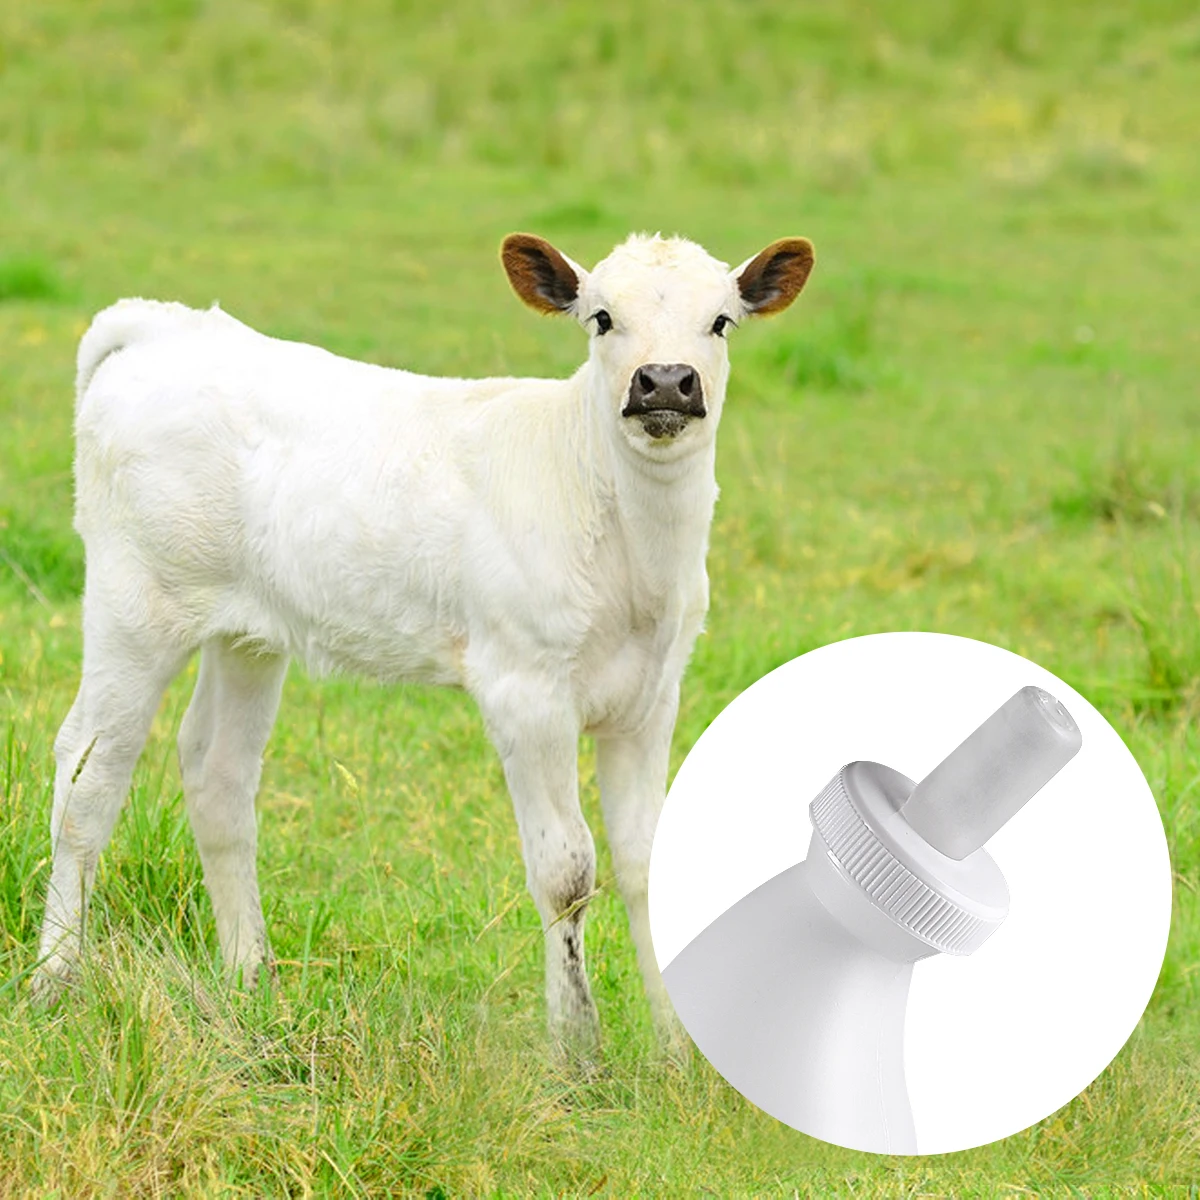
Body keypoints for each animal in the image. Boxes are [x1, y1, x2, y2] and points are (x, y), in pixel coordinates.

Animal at [34, 231, 814, 1054]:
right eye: (602, 318)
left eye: (720, 322)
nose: (665, 381)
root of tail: (165, 325)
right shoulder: (525, 691)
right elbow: (567, 871)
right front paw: (577, 1050)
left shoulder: (650, 696)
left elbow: (644, 862)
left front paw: (676, 1054)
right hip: (134, 602)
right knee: (89, 775)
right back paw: (54, 982)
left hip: (247, 631)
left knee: (218, 776)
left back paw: (252, 986)